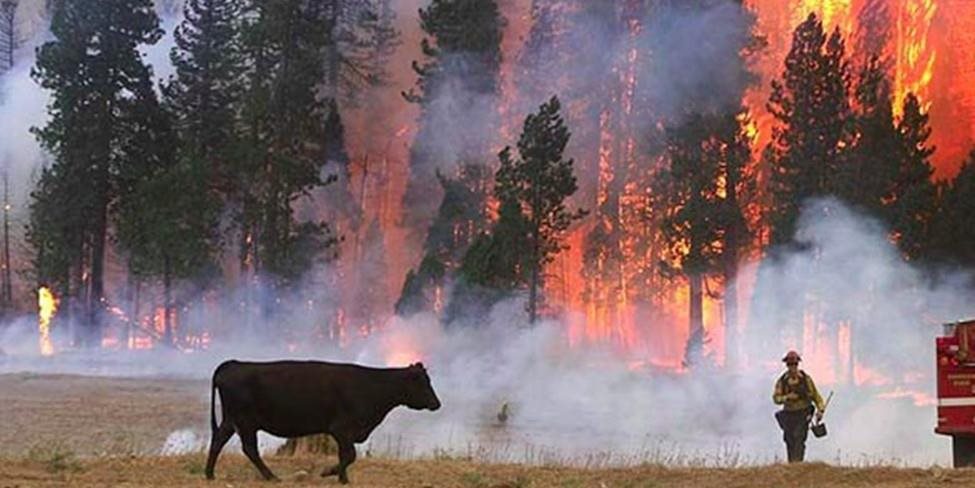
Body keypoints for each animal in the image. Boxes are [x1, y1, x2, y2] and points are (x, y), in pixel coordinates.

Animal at [204, 360, 441, 483]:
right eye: (423, 382)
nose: (437, 403)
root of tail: (233, 364)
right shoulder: (341, 429)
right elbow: (350, 455)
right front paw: (331, 473)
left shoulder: (345, 432)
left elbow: (346, 455)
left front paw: (342, 478)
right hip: (245, 421)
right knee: (249, 449)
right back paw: (271, 477)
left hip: (232, 420)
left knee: (218, 441)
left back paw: (209, 474)